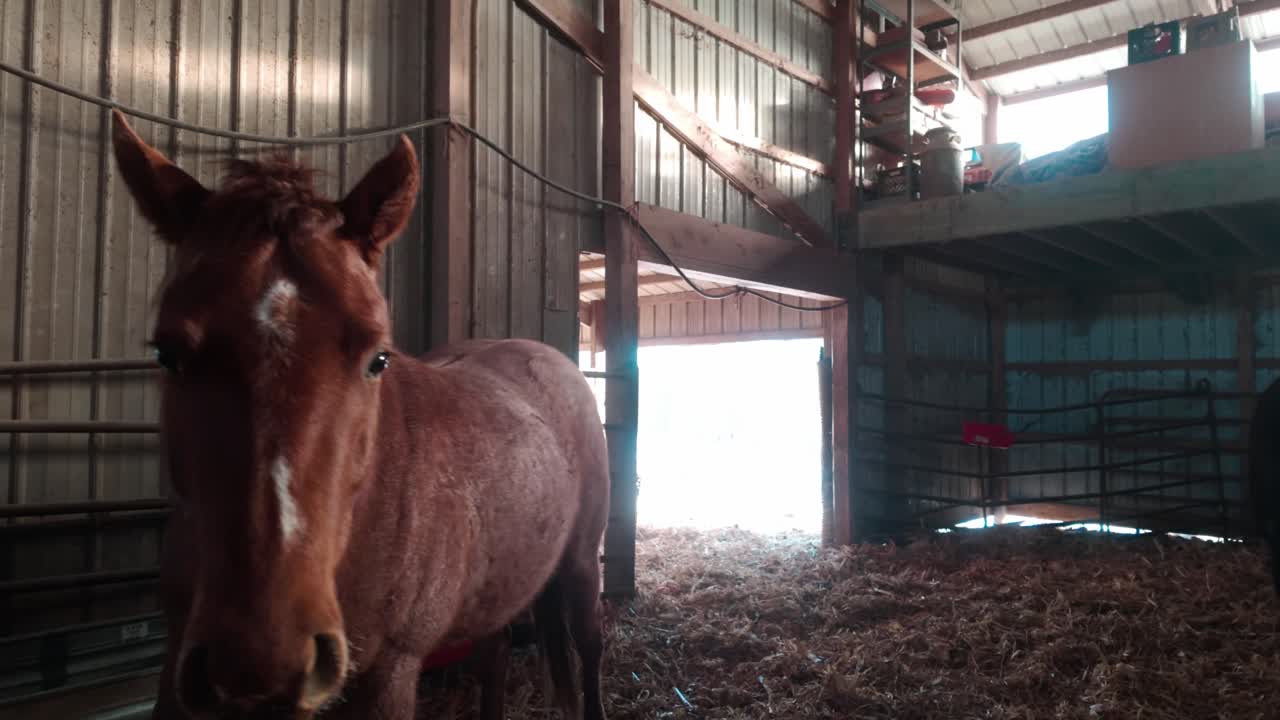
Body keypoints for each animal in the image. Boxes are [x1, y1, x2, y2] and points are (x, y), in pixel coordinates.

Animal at [110, 110, 611, 720]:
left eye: (378, 357)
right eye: (166, 352)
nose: (260, 663)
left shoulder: (389, 673)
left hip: (581, 565)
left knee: (588, 646)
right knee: (493, 654)